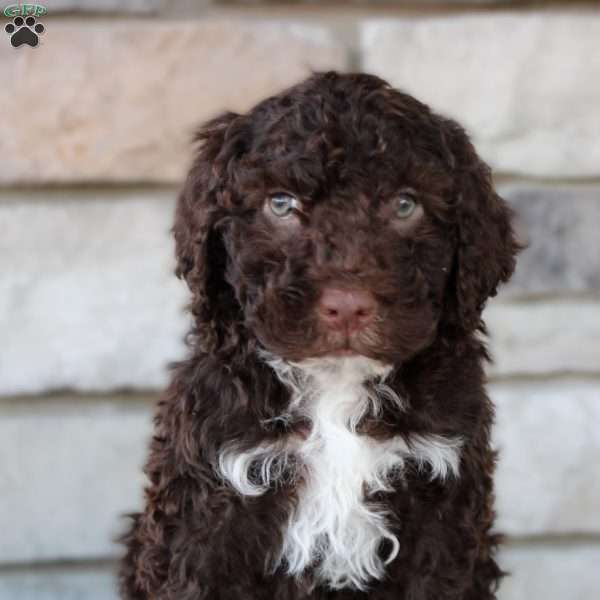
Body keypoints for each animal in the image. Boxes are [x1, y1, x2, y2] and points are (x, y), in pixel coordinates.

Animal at [119, 71, 516, 600]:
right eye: (281, 204)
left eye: (405, 205)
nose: (347, 305)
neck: (336, 386)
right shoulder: (206, 512)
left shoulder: (444, 501)